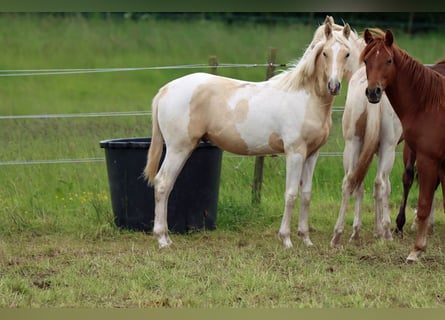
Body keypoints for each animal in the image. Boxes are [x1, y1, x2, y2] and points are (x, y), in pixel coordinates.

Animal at [144, 18, 360, 249]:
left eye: (347, 53)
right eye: (325, 53)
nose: (334, 86)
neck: (305, 97)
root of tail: (166, 90)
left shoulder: (312, 154)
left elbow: (306, 195)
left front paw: (306, 239)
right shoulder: (295, 153)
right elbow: (291, 194)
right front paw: (286, 239)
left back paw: (166, 238)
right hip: (178, 148)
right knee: (163, 184)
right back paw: (162, 239)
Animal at [360, 28, 444, 262]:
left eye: (388, 60)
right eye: (366, 60)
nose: (373, 92)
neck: (429, 103)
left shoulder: (428, 160)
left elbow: (424, 205)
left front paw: (416, 250)